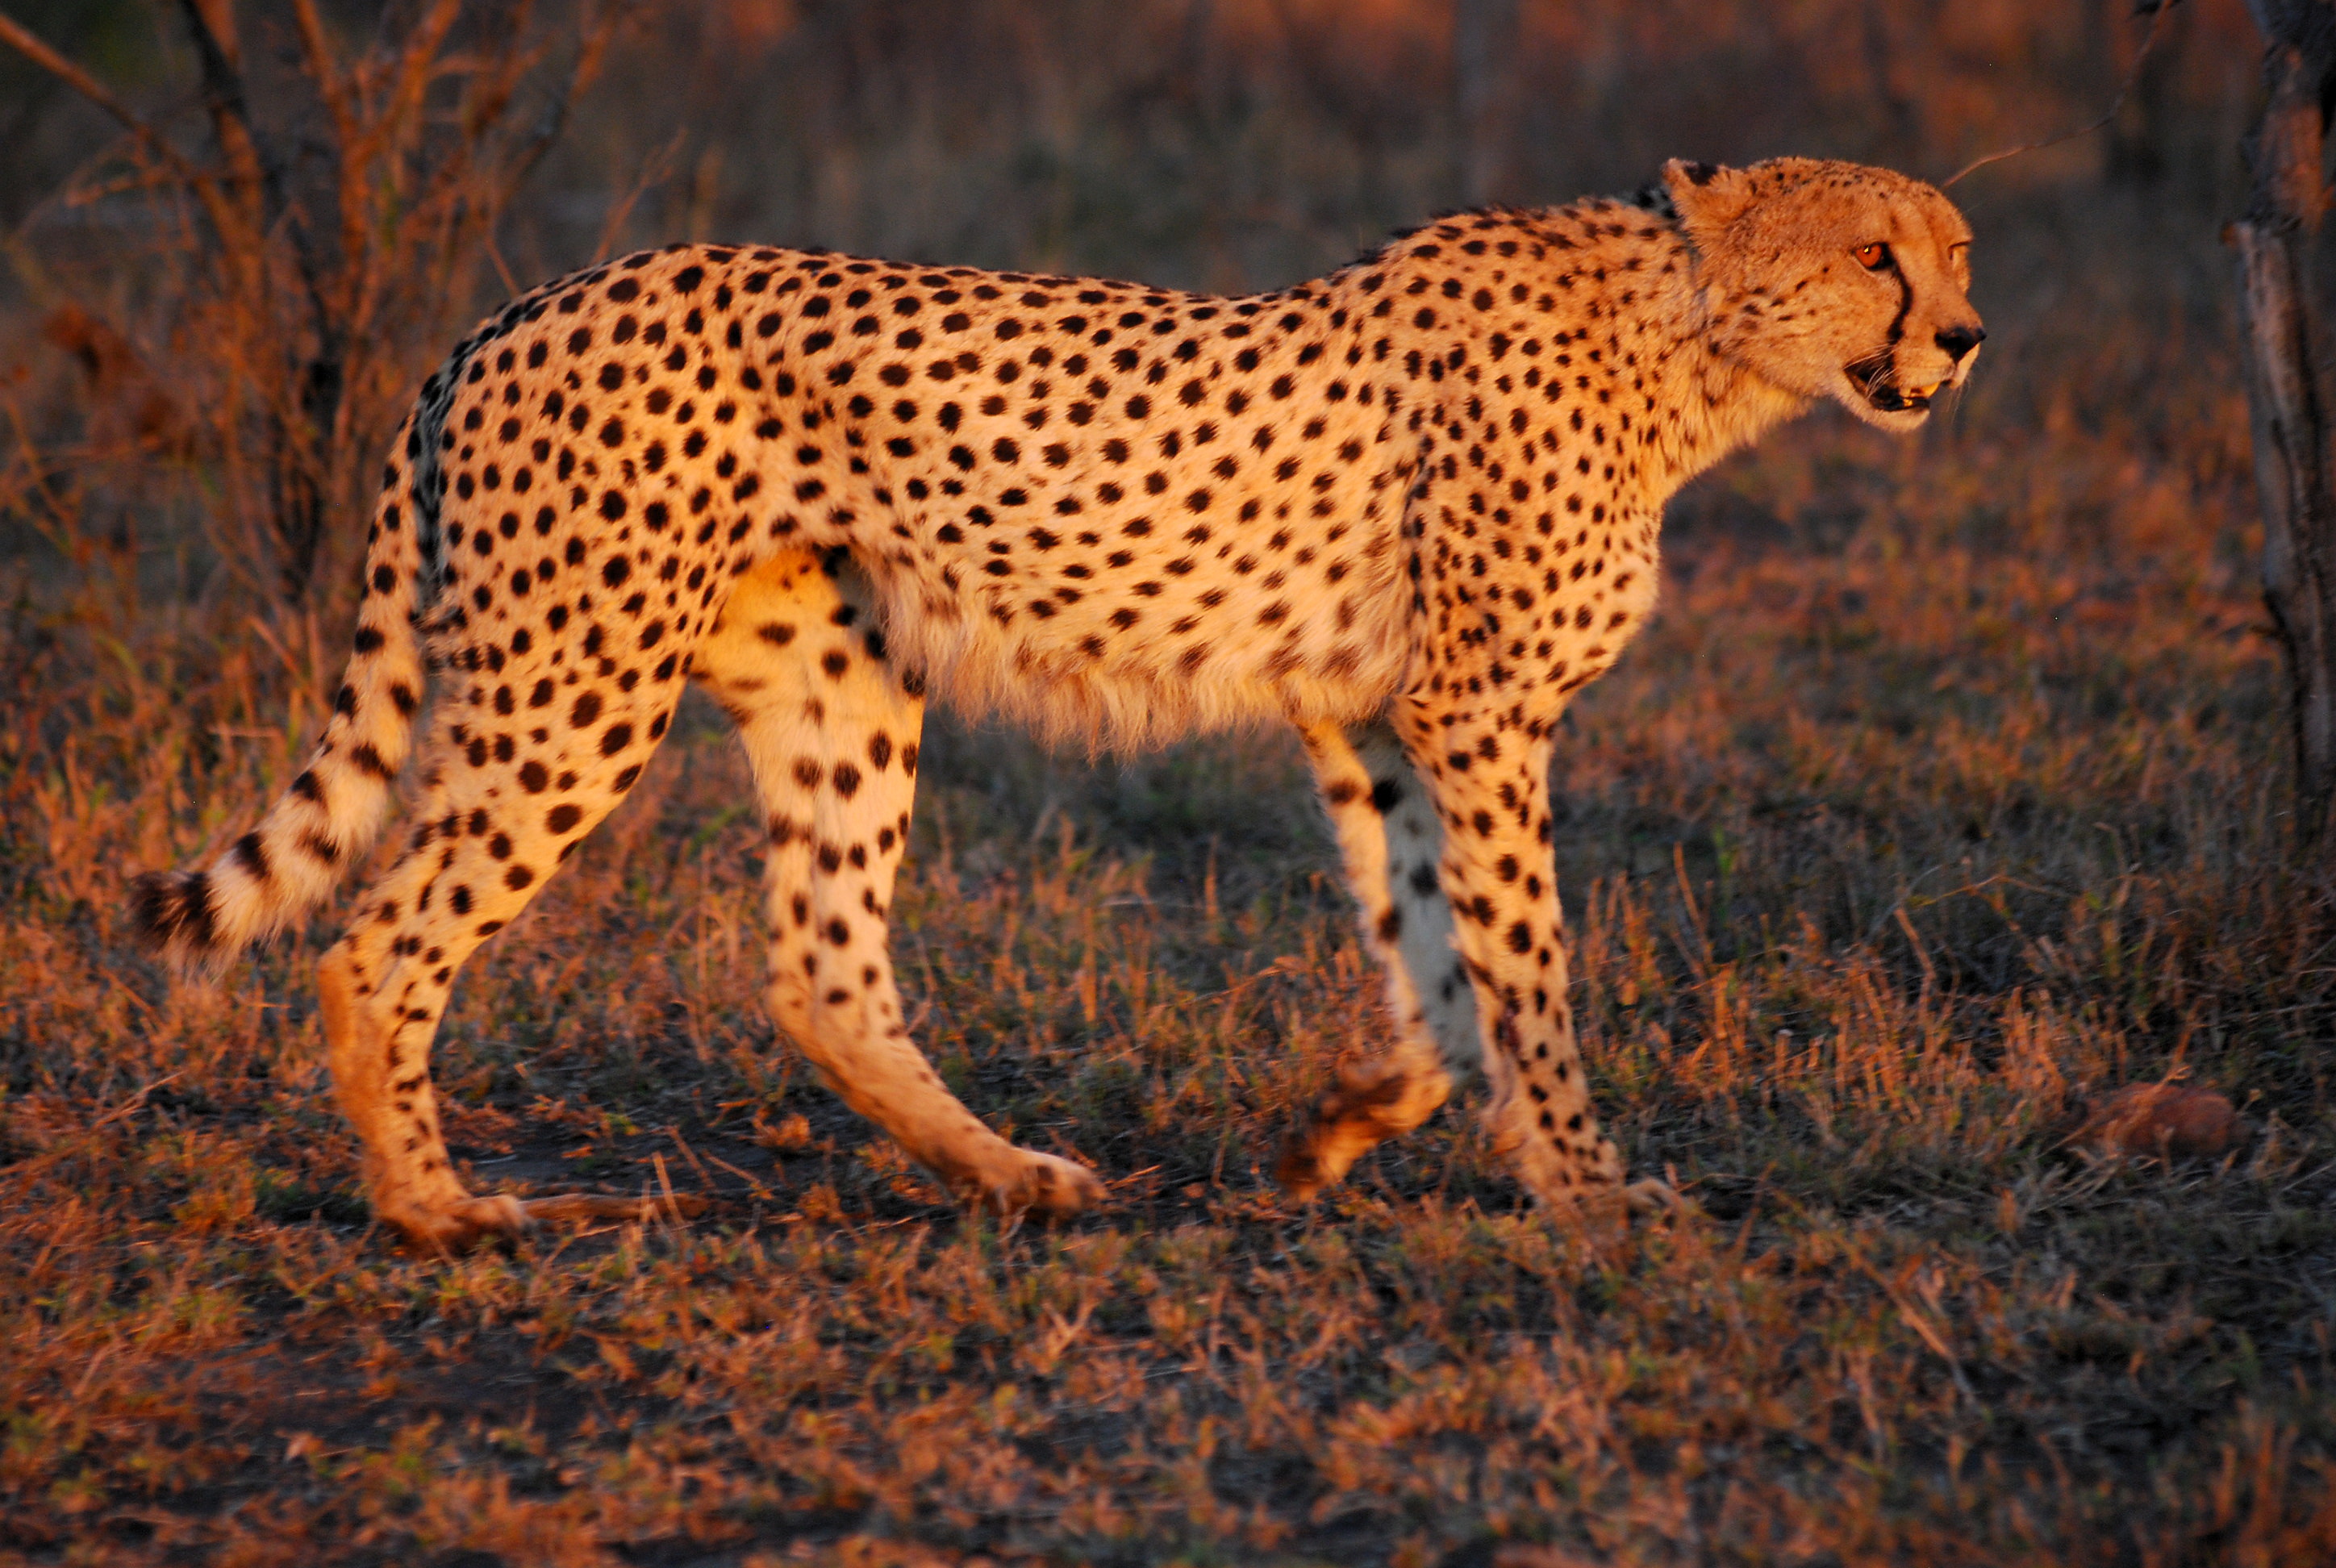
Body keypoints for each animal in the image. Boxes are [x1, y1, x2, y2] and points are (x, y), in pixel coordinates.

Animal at [131, 156, 1981, 1252]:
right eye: (1870, 254)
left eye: (1953, 253)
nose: (1962, 339)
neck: (1690, 344)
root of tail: (508, 312)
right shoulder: (1474, 713)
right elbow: (1526, 965)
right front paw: (1591, 1191)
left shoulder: (1371, 721)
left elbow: (1435, 959)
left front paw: (1349, 1127)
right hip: (573, 691)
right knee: (377, 942)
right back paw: (436, 1211)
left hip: (840, 680)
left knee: (818, 969)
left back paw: (1011, 1174)